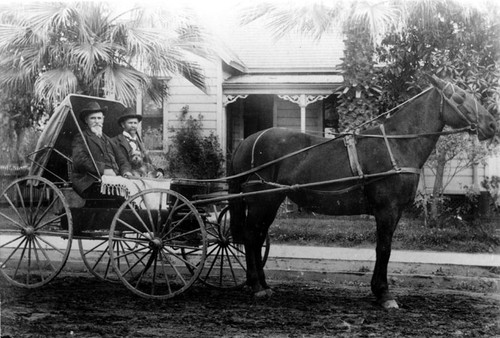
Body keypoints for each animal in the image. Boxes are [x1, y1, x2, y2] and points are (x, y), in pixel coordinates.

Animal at [229, 74, 498, 308]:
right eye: (460, 96)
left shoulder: (394, 212)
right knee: (252, 237)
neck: (397, 144)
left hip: (270, 202)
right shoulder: (387, 210)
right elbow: (384, 249)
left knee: (258, 237)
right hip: (262, 201)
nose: (492, 124)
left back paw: (263, 284)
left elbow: (384, 249)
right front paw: (384, 294)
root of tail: (247, 142)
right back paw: (257, 286)